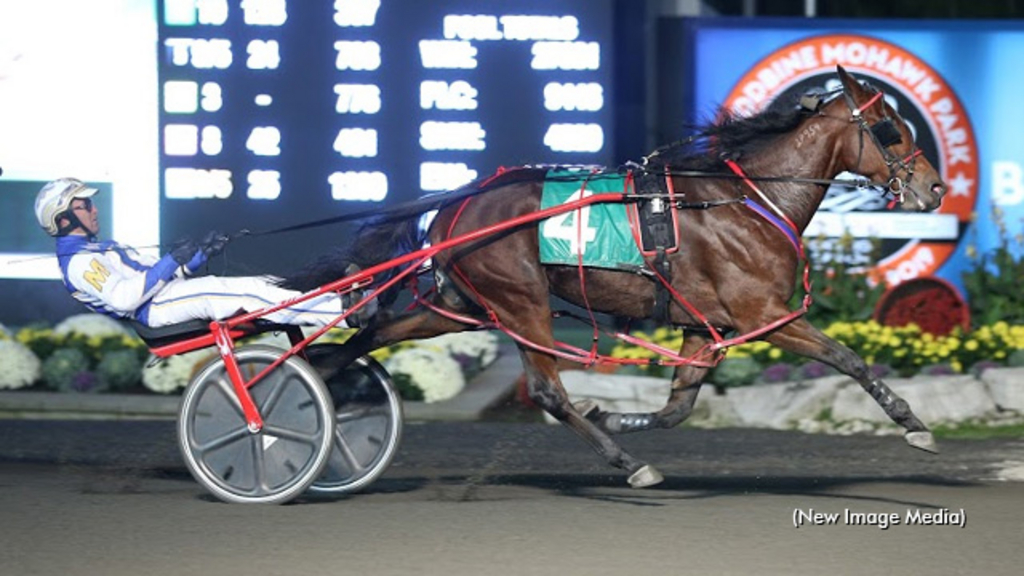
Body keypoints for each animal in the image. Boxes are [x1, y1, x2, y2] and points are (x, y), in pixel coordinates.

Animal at [284, 66, 946, 483]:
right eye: (890, 129)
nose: (935, 188)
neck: (748, 199)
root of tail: (458, 202)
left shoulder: (704, 327)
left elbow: (678, 406)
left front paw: (619, 415)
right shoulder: (765, 315)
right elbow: (849, 359)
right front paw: (914, 424)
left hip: (463, 306)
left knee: (364, 339)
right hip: (522, 301)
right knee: (547, 390)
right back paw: (628, 465)